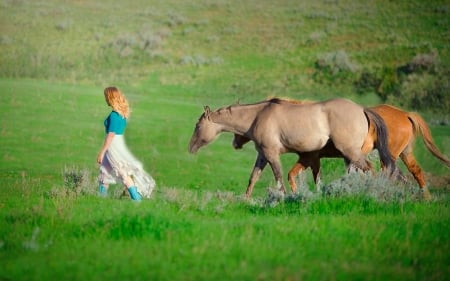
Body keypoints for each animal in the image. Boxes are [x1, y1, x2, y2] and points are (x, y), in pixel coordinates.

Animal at [187, 98, 394, 197]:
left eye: (198, 126)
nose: (190, 148)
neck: (258, 116)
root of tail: (362, 109)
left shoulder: (272, 154)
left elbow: (279, 177)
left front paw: (284, 198)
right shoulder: (263, 155)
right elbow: (253, 178)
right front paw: (245, 199)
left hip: (351, 152)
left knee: (370, 169)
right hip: (348, 156)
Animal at [234, 102, 448, 197]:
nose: (235, 143)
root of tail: (406, 114)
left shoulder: (309, 157)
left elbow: (296, 175)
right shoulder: (313, 159)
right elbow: (312, 177)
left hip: (388, 156)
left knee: (391, 174)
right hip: (404, 153)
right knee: (415, 173)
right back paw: (425, 198)